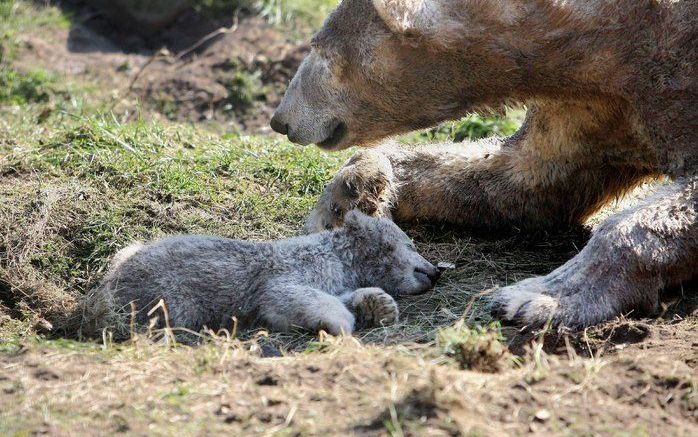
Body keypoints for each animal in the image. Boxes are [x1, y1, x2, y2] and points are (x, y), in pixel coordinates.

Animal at [270, 0, 692, 328]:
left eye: (320, 51)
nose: (279, 120)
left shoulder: (671, 71)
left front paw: (537, 295)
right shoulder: (593, 107)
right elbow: (518, 180)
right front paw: (348, 195)